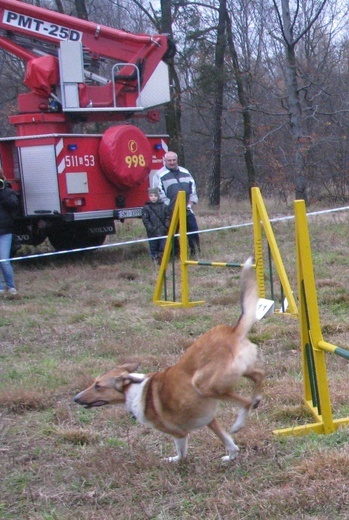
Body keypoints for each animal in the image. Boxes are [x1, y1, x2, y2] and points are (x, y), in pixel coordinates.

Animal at [74, 258, 264, 462]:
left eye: (98, 386)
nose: (75, 398)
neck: (134, 390)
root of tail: (233, 331)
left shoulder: (178, 433)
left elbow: (181, 453)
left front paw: (173, 461)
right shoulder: (210, 420)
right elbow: (227, 440)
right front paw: (231, 456)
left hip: (204, 385)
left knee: (245, 402)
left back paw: (239, 422)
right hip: (238, 373)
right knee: (259, 375)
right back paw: (257, 398)